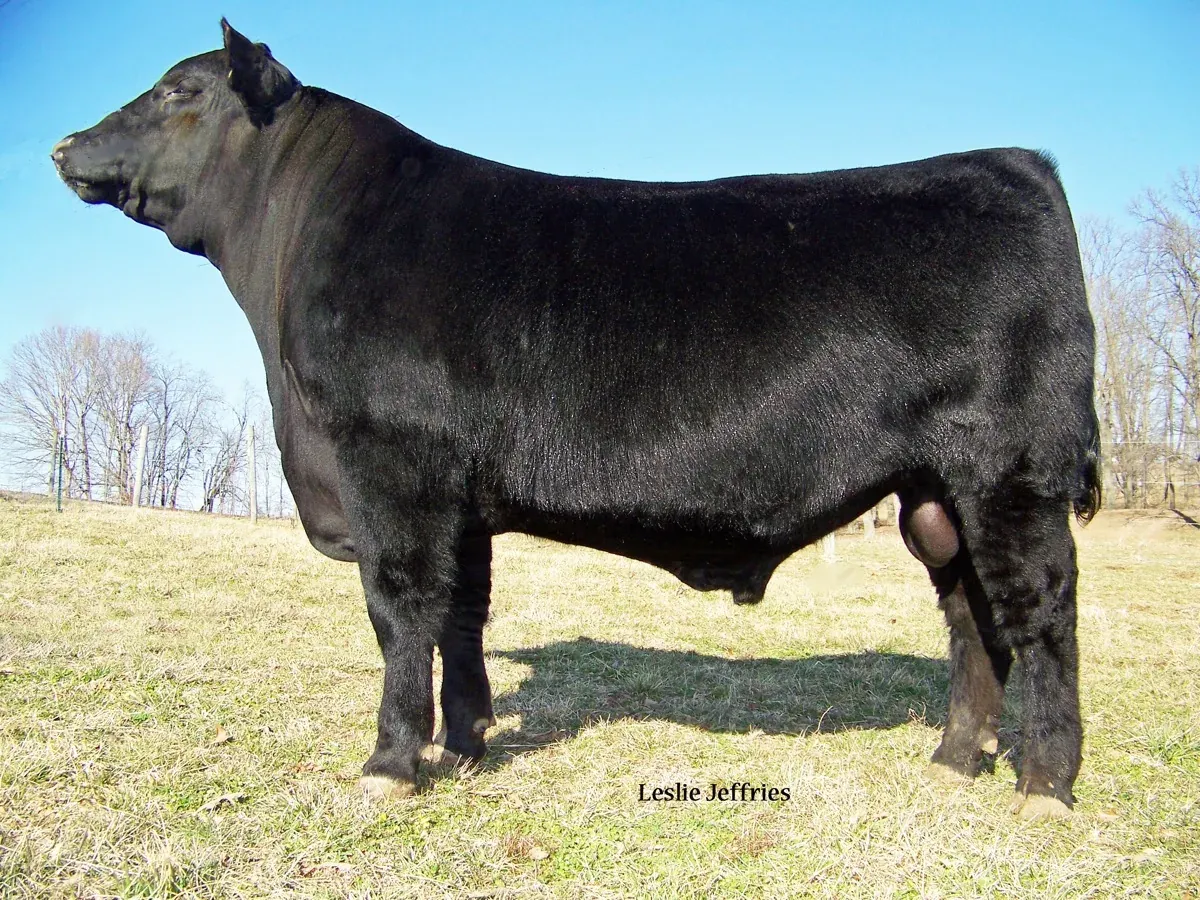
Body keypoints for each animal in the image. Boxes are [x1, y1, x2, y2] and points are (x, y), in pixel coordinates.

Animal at [53, 20, 1101, 820]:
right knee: (971, 613)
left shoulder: (392, 465)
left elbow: (400, 609)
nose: (63, 146)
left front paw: (392, 762)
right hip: (936, 490)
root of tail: (1018, 163)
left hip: (1009, 470)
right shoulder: (461, 495)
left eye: (180, 89)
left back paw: (1044, 784)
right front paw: (467, 741)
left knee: (1039, 609)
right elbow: (462, 614)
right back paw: (956, 759)